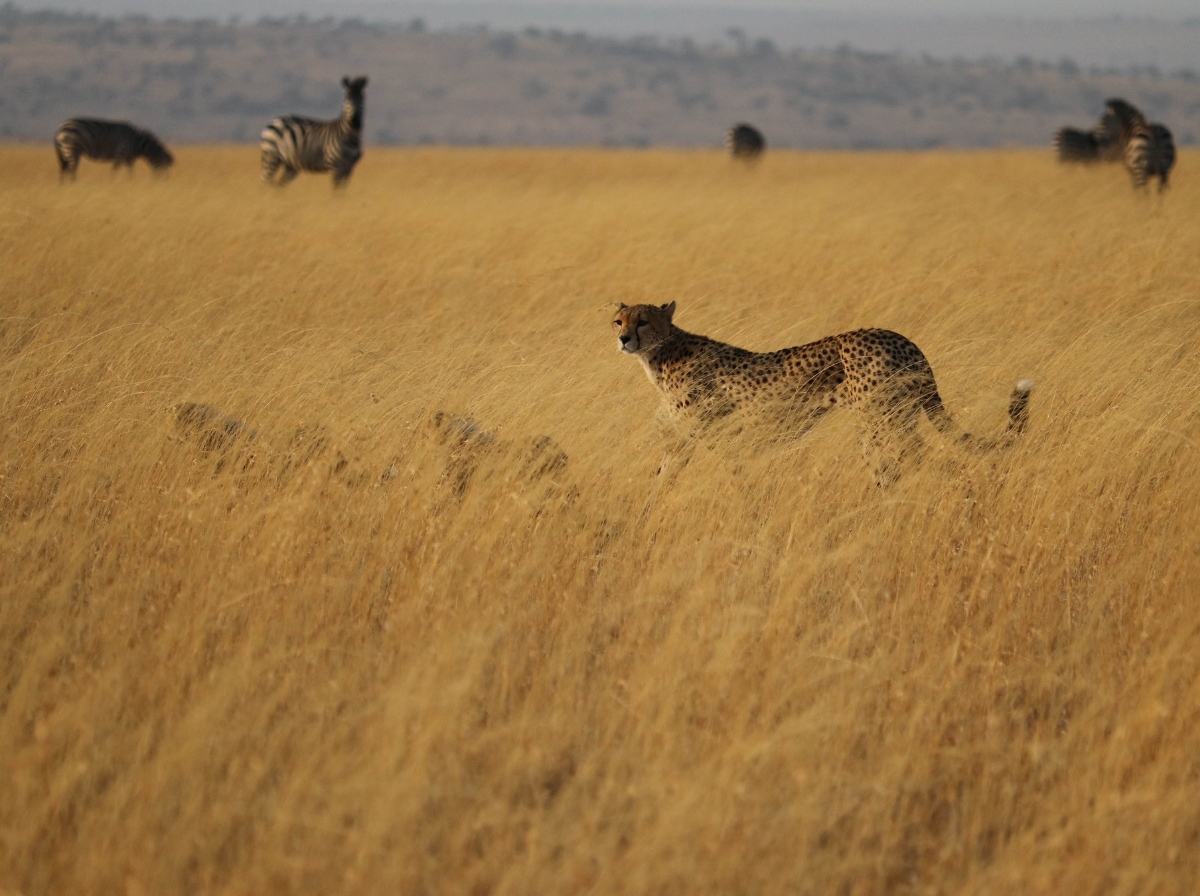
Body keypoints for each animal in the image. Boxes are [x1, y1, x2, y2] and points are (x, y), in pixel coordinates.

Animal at [612, 301, 1033, 484]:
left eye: (643, 321)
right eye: (618, 320)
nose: (623, 339)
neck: (660, 352)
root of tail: (899, 337)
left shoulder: (702, 434)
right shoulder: (689, 438)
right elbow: (662, 476)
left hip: (884, 419)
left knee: (923, 458)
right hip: (877, 425)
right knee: (889, 465)